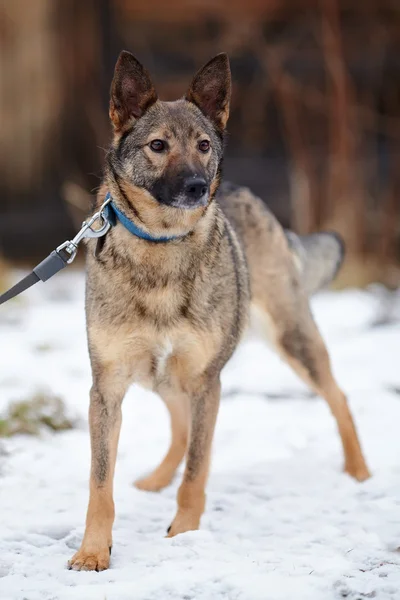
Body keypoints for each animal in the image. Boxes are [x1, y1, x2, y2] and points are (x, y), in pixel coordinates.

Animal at [67, 52, 370, 572]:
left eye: (204, 145)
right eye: (158, 145)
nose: (197, 185)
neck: (161, 248)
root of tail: (250, 195)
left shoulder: (208, 382)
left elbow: (197, 469)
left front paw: (185, 534)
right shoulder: (106, 389)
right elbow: (100, 483)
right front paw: (92, 551)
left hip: (290, 341)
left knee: (338, 396)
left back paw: (358, 471)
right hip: (164, 377)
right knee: (178, 427)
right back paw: (156, 479)